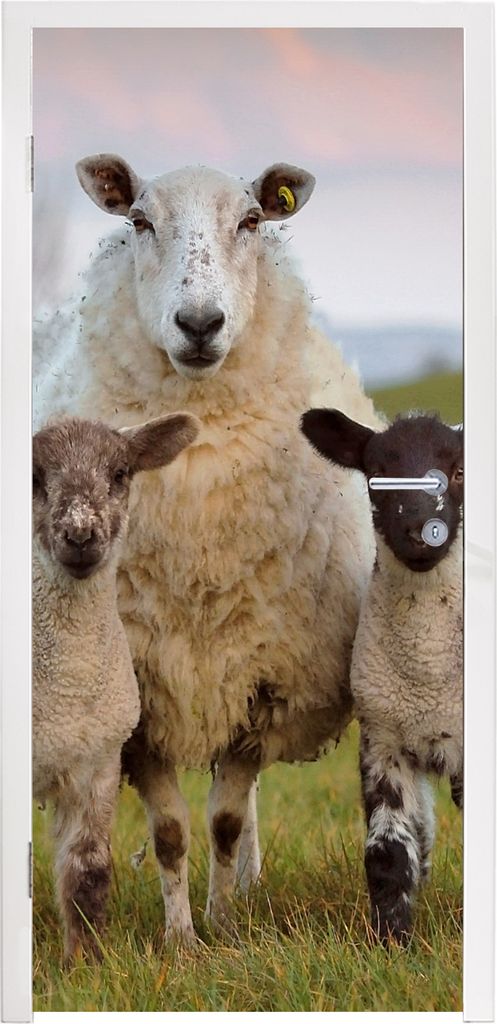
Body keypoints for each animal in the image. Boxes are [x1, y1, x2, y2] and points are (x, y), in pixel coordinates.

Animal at [32, 412, 199, 960]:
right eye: (34, 476)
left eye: (121, 472)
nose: (81, 534)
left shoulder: (98, 763)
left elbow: (88, 871)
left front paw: (85, 963)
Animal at [300, 408, 463, 944]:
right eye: (376, 475)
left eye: (458, 472)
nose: (419, 531)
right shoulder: (383, 740)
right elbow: (387, 852)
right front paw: (392, 941)